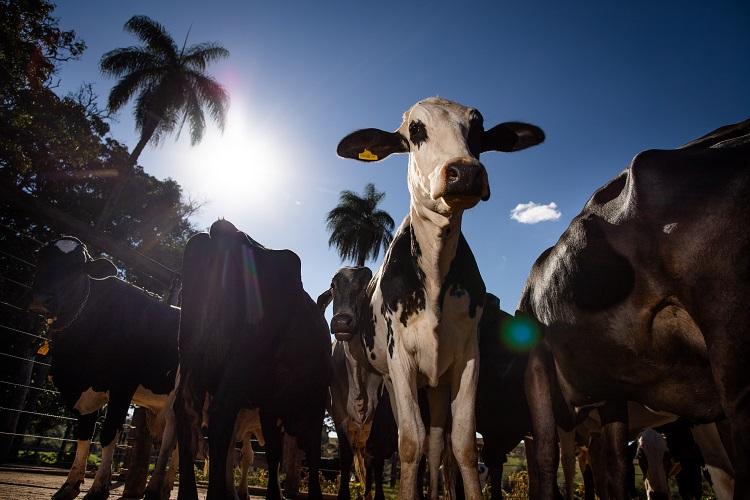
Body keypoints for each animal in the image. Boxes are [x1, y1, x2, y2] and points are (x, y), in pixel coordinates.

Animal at [28, 237, 178, 500]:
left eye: (77, 266)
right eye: (41, 258)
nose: (41, 299)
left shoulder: (122, 386)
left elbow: (108, 432)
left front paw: (98, 487)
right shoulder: (82, 390)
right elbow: (84, 433)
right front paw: (70, 485)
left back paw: (156, 487)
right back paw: (162, 486)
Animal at [175, 220, 330, 500]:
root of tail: (225, 231)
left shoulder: (270, 405)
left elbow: (274, 452)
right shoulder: (315, 400)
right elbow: (310, 452)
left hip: (192, 351)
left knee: (186, 411)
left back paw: (190, 494)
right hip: (242, 358)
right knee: (221, 411)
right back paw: (218, 494)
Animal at [338, 95, 544, 498]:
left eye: (478, 129)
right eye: (415, 130)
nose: (465, 172)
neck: (433, 276)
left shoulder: (466, 358)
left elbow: (461, 444)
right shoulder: (401, 359)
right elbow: (408, 443)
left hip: (436, 382)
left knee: (435, 443)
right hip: (393, 379)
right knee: (415, 436)